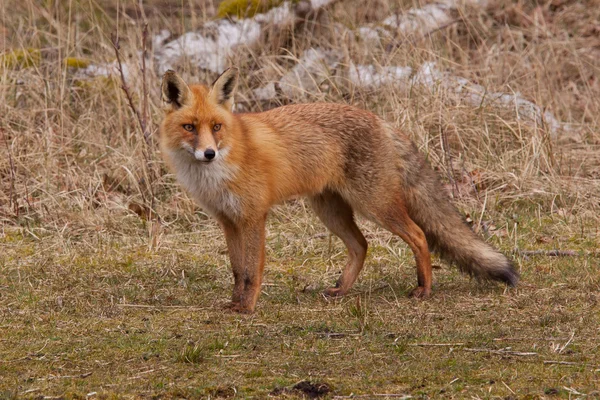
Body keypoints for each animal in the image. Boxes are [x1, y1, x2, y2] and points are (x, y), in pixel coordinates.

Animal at [159, 68, 520, 312]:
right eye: (189, 127)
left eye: (216, 127)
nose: (208, 153)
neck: (218, 171)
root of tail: (381, 120)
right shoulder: (228, 221)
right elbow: (237, 270)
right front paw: (234, 303)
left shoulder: (253, 217)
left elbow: (252, 270)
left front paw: (247, 307)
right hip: (330, 210)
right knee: (361, 245)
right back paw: (342, 290)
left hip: (375, 205)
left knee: (418, 235)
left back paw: (423, 289)